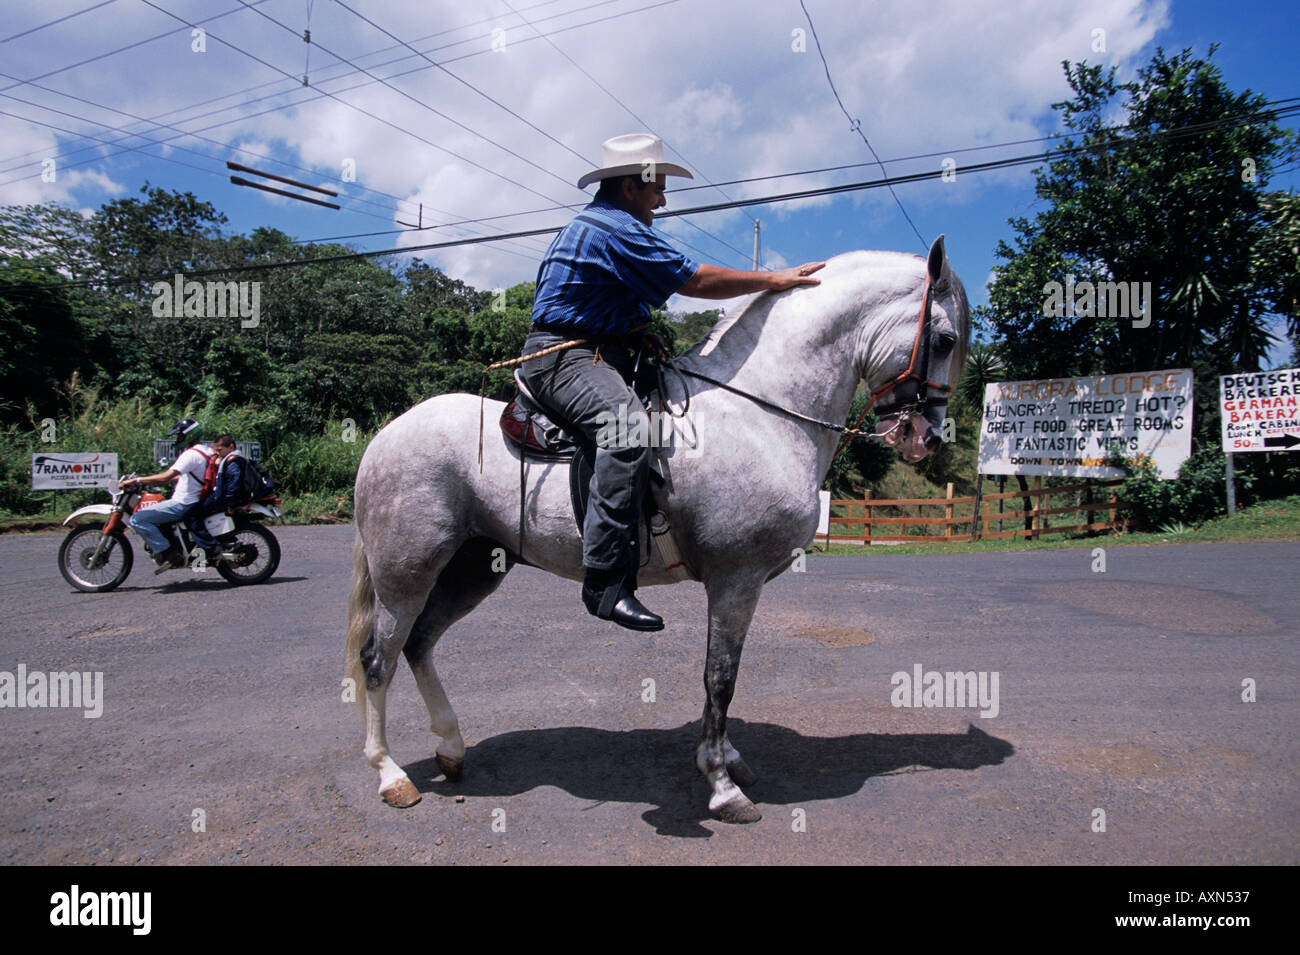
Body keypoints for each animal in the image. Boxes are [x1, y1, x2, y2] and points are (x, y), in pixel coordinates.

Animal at [345, 237, 967, 821]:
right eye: (944, 340)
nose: (927, 438)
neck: (759, 412)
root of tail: (385, 435)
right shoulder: (736, 579)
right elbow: (720, 678)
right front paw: (721, 784)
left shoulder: (737, 586)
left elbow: (723, 678)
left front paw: (728, 758)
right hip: (406, 574)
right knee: (378, 659)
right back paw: (390, 775)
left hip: (472, 569)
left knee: (419, 645)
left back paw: (451, 748)